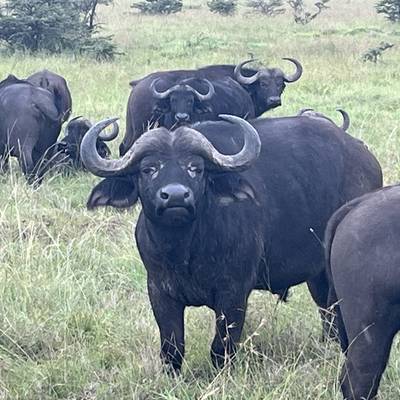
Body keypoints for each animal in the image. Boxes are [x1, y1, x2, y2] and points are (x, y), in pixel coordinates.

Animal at [81, 113, 381, 373]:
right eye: (148, 169)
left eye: (196, 168)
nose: (176, 196)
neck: (184, 251)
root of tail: (365, 158)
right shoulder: (158, 290)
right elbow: (172, 347)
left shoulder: (234, 293)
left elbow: (221, 347)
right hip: (317, 273)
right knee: (325, 310)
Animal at [119, 58, 303, 155]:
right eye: (263, 83)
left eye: (280, 84)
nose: (274, 100)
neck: (243, 86)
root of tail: (139, 84)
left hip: (132, 128)